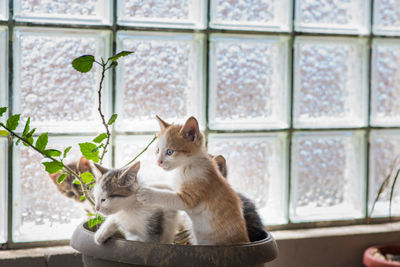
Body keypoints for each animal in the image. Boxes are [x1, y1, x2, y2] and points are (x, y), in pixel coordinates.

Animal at [138, 116, 250, 246]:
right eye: (157, 150)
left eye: (170, 152)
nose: (158, 162)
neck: (184, 167)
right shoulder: (175, 184)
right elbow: (166, 186)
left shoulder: (190, 196)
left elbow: (168, 196)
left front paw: (148, 193)